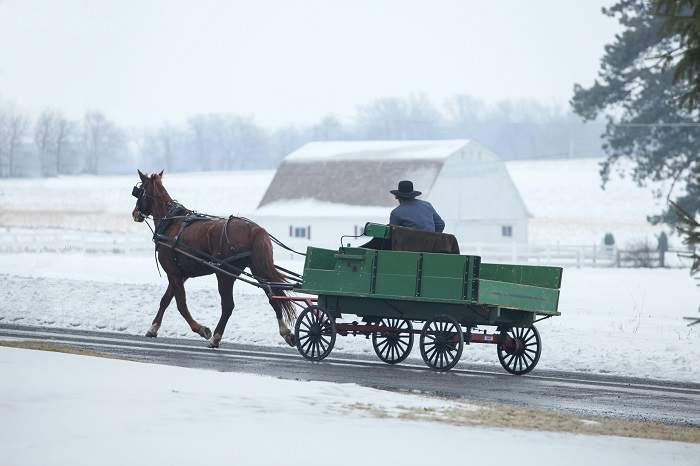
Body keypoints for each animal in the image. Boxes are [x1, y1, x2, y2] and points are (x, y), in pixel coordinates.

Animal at [131, 169, 296, 348]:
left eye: (139, 192)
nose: (134, 214)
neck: (170, 222)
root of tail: (255, 230)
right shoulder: (181, 275)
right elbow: (165, 300)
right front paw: (153, 328)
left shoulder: (173, 273)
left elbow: (181, 305)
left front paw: (201, 329)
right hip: (257, 269)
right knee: (273, 296)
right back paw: (286, 332)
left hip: (224, 274)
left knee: (228, 306)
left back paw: (215, 337)